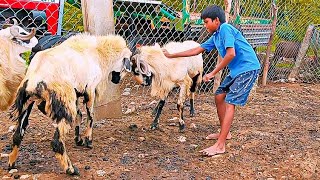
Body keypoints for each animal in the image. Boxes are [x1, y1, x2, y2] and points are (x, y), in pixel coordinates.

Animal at [8, 33, 132, 176]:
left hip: (28, 104)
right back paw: (71, 169)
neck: (99, 53)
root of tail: (34, 80)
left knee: (17, 135)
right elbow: (90, 115)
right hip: (65, 104)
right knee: (56, 142)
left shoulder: (76, 92)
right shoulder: (90, 89)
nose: (116, 80)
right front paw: (88, 140)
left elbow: (79, 115)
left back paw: (11, 165)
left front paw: (78, 139)